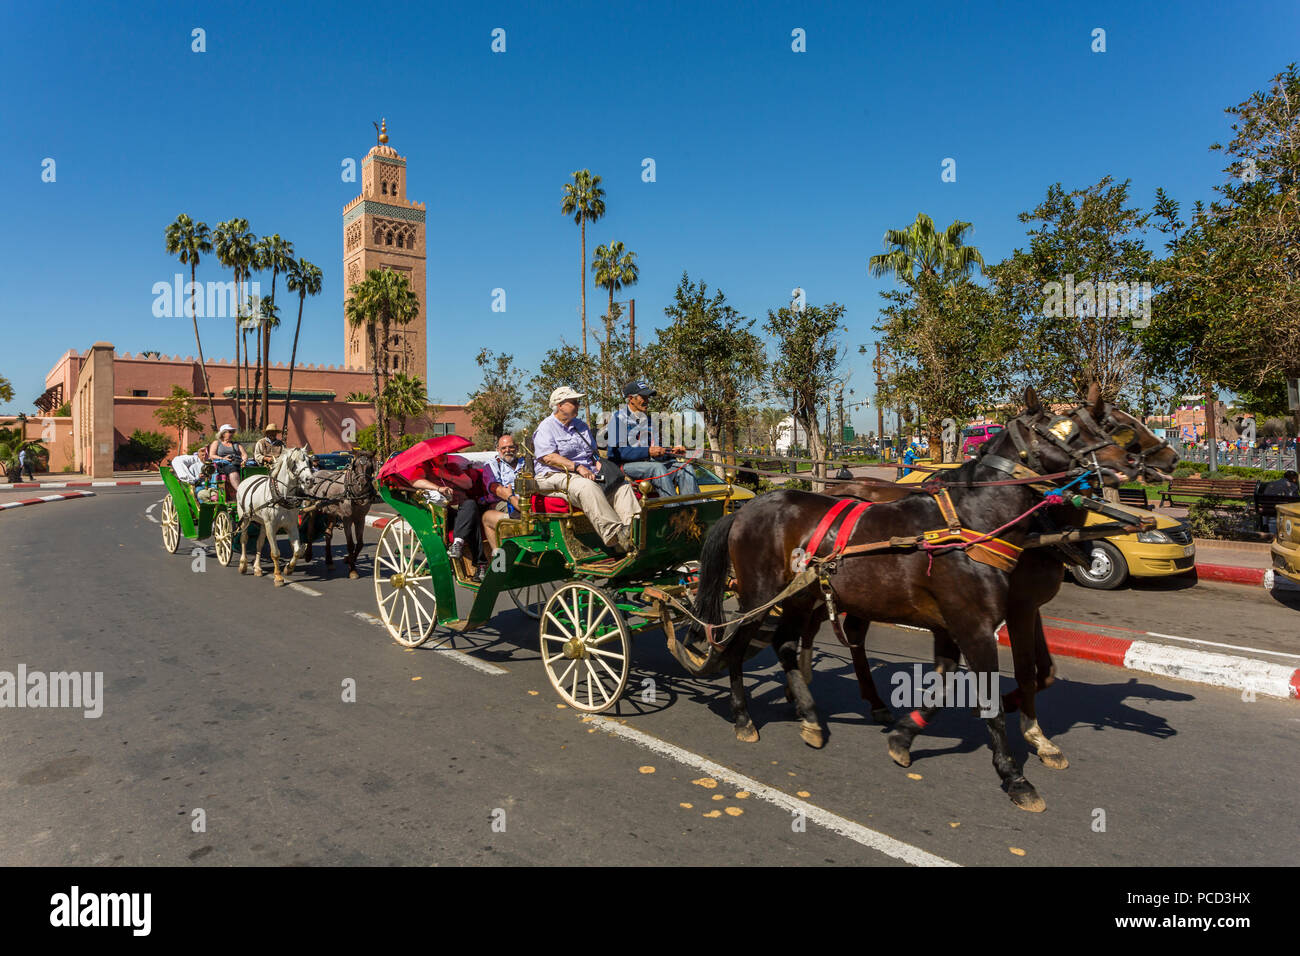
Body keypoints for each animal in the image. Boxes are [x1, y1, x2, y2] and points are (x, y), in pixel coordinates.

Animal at [236, 447, 314, 587]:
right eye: (294, 462)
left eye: (309, 461)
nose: (309, 480)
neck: (282, 496)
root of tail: (247, 479)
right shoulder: (271, 526)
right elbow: (275, 553)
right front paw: (278, 577)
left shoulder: (291, 525)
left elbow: (297, 550)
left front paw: (289, 568)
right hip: (245, 518)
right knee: (244, 539)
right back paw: (243, 565)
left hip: (262, 523)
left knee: (259, 543)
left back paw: (257, 568)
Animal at [681, 390, 1138, 816]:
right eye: (1066, 428)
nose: (1128, 462)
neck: (973, 522)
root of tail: (745, 510)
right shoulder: (976, 625)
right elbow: (990, 699)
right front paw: (1014, 776)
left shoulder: (957, 623)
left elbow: (947, 681)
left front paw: (904, 737)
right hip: (759, 594)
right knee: (737, 646)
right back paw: (744, 716)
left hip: (800, 596)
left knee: (786, 644)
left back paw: (810, 715)